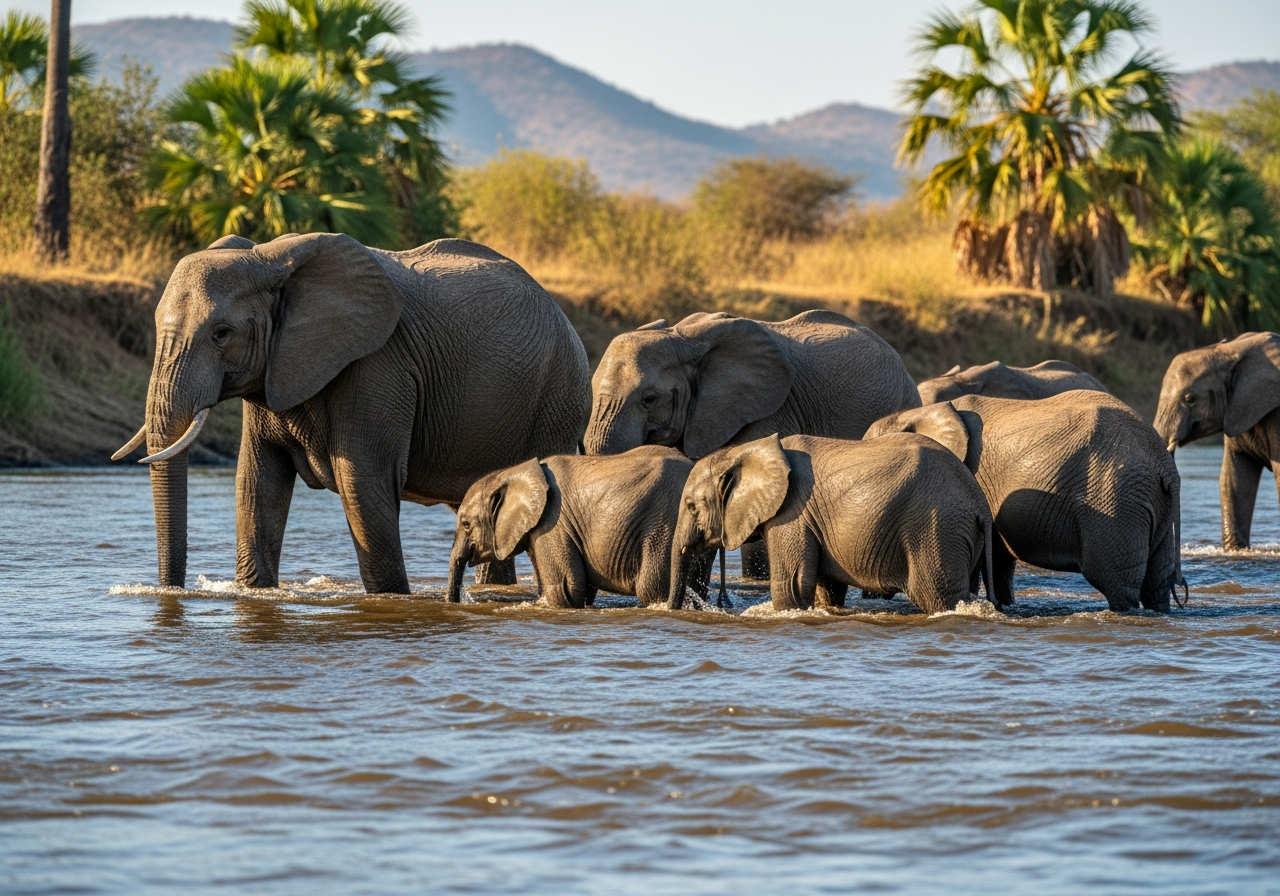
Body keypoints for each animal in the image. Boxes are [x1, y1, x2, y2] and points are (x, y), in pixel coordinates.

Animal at [112, 234, 591, 594]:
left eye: (221, 333)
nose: (171, 591)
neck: (269, 257)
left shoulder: (379, 366)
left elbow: (363, 483)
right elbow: (257, 483)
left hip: (558, 392)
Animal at [447, 447, 710, 608]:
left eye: (466, 525)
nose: (456, 601)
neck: (512, 473)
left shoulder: (552, 525)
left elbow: (565, 589)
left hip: (663, 522)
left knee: (653, 587)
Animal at [669, 433, 994, 615]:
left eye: (691, 507)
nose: (671, 609)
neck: (744, 450)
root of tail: (980, 502)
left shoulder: (792, 514)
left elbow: (792, 588)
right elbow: (828, 589)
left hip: (937, 528)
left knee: (938, 595)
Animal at [867, 391, 1183, 612]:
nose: (872, 593)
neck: (921, 412)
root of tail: (1165, 464)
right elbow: (998, 559)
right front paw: (1004, 606)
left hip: (1116, 499)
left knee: (1115, 581)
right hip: (1150, 501)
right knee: (1157, 583)